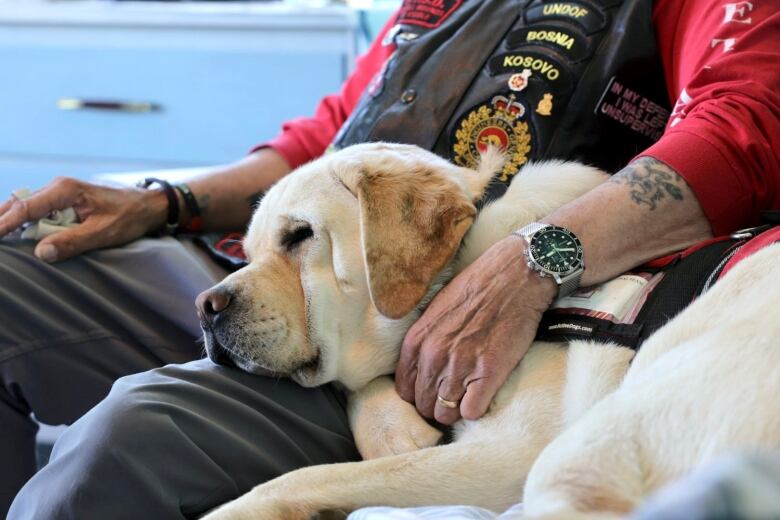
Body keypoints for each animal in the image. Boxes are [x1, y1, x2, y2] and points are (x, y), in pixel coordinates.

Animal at [200, 143, 780, 520]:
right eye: (247, 252)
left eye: (300, 235)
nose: (207, 306)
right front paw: (393, 425)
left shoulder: (506, 456)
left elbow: (304, 477)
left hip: (577, 451)